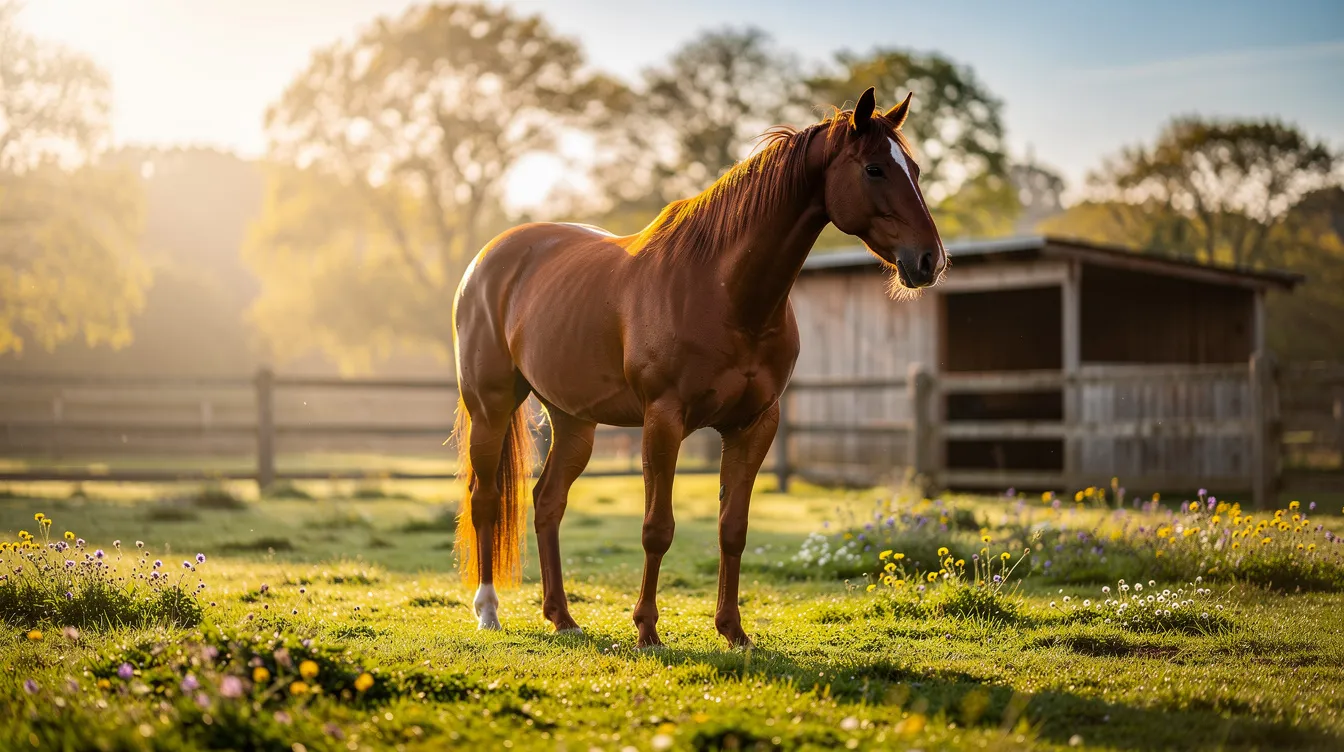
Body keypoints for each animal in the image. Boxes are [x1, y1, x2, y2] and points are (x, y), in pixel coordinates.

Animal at [451, 87, 946, 648]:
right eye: (874, 169)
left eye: (916, 169)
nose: (930, 260)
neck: (723, 291)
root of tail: (488, 259)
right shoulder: (664, 420)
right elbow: (657, 528)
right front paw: (647, 630)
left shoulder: (755, 425)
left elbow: (733, 528)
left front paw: (733, 630)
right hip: (491, 406)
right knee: (486, 498)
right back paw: (488, 611)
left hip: (574, 419)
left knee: (547, 501)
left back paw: (562, 616)